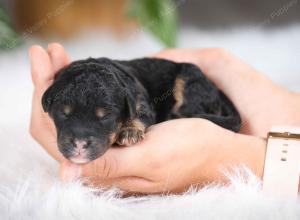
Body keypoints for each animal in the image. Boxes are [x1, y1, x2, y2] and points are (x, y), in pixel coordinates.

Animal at [41, 57, 241, 164]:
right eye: (63, 113)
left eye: (105, 116)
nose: (79, 144)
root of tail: (216, 90)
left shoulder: (140, 100)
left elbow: (138, 115)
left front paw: (129, 131)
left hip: (190, 79)